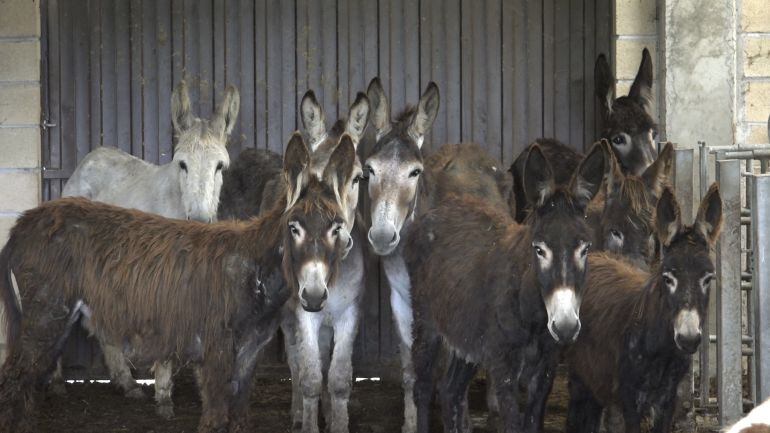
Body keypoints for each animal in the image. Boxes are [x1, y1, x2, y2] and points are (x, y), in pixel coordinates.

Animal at [0, 132, 348, 432]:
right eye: (294, 227)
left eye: (337, 227)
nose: (314, 297)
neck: (254, 265)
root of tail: (22, 224)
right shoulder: (216, 352)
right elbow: (215, 418)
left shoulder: (249, 355)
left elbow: (238, 418)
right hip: (46, 314)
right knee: (14, 380)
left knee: (28, 382)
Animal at [404, 142, 608, 432]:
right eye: (539, 249)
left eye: (585, 248)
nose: (566, 327)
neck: (533, 316)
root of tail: (442, 208)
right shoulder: (504, 370)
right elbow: (512, 422)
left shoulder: (544, 373)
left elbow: (532, 423)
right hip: (426, 323)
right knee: (423, 387)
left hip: (466, 334)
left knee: (450, 389)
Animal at [564, 183, 720, 432]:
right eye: (667, 277)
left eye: (708, 278)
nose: (688, 339)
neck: (661, 350)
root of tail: (597, 255)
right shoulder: (630, 399)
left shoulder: (668, 401)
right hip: (580, 374)